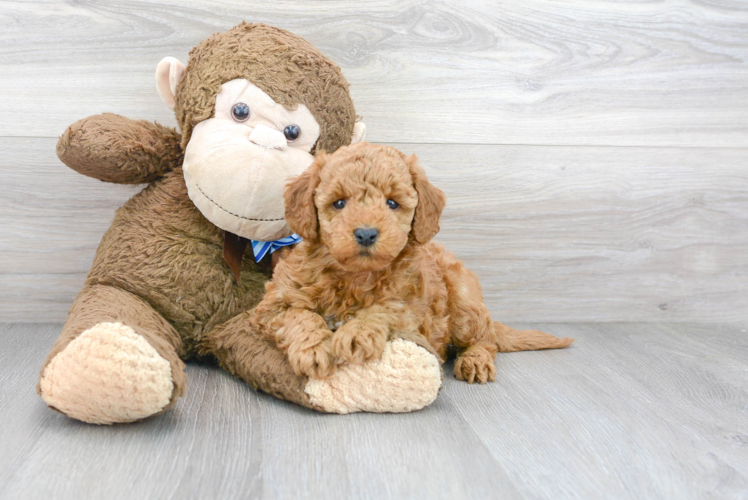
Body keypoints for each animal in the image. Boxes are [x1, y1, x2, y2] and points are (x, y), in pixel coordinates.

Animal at [251, 143, 572, 380]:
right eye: (339, 203)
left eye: (392, 203)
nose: (366, 233)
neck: (355, 277)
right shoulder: (271, 305)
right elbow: (298, 315)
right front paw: (314, 349)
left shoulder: (413, 310)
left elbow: (386, 308)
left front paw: (357, 333)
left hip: (464, 302)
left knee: (485, 340)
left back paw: (476, 361)